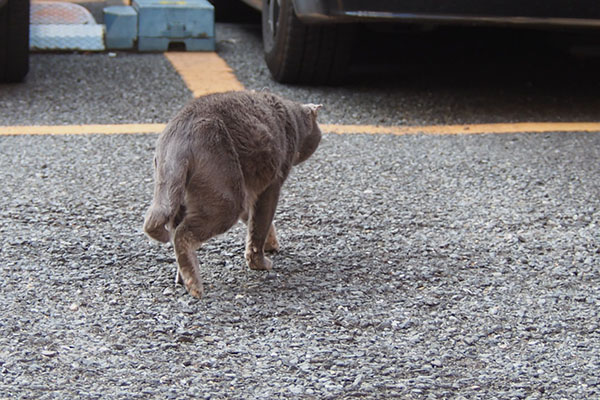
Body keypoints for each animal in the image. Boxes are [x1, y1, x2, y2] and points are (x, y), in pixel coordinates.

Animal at [143, 90, 322, 296]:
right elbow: (259, 227)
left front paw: (271, 244)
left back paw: (182, 278)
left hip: (181, 195)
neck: (292, 119)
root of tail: (178, 136)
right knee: (182, 235)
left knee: (174, 231)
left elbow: (255, 222)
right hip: (226, 197)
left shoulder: (249, 191)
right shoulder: (271, 185)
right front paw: (260, 263)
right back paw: (194, 285)